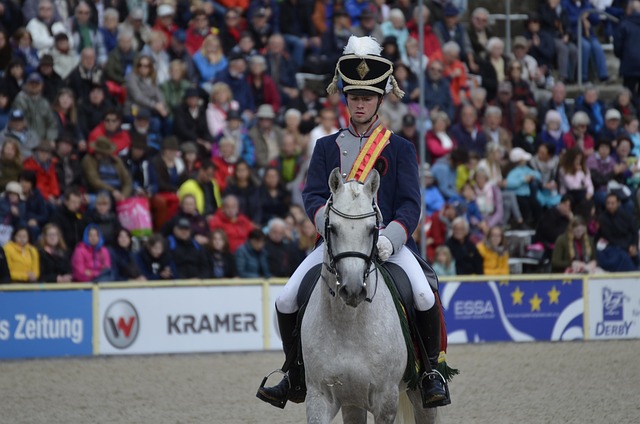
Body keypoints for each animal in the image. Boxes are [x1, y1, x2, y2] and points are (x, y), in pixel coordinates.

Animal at [300, 169, 436, 424]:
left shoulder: (386, 400)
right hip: (352, 402)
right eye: (332, 228)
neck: (348, 326)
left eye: (373, 229)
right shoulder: (319, 396)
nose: (353, 289)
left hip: (420, 395)